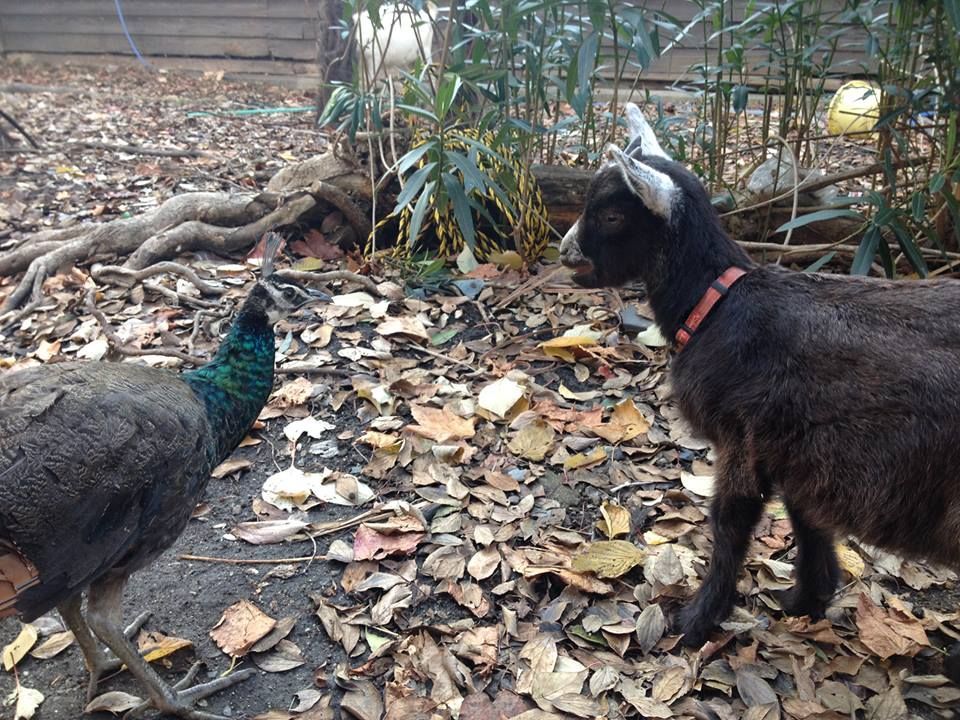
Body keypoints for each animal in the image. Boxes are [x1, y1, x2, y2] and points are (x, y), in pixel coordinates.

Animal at [560, 102, 960, 680]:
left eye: (612, 216)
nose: (566, 251)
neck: (716, 303)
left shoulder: (745, 438)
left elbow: (730, 522)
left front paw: (698, 619)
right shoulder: (799, 451)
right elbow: (808, 518)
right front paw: (809, 599)